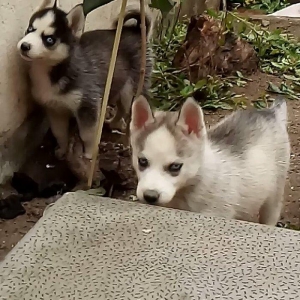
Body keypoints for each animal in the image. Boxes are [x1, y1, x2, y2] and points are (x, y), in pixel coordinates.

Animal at [16, 0, 152, 159]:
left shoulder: (88, 105)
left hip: (134, 89)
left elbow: (86, 134)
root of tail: (134, 31)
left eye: (49, 40)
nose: (24, 46)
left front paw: (89, 152)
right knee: (121, 109)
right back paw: (114, 123)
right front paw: (62, 149)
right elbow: (59, 132)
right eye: (30, 29)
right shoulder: (54, 108)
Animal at [130, 95, 290, 225]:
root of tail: (271, 112)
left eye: (175, 166)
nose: (150, 196)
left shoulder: (215, 214)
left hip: (275, 192)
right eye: (142, 161)